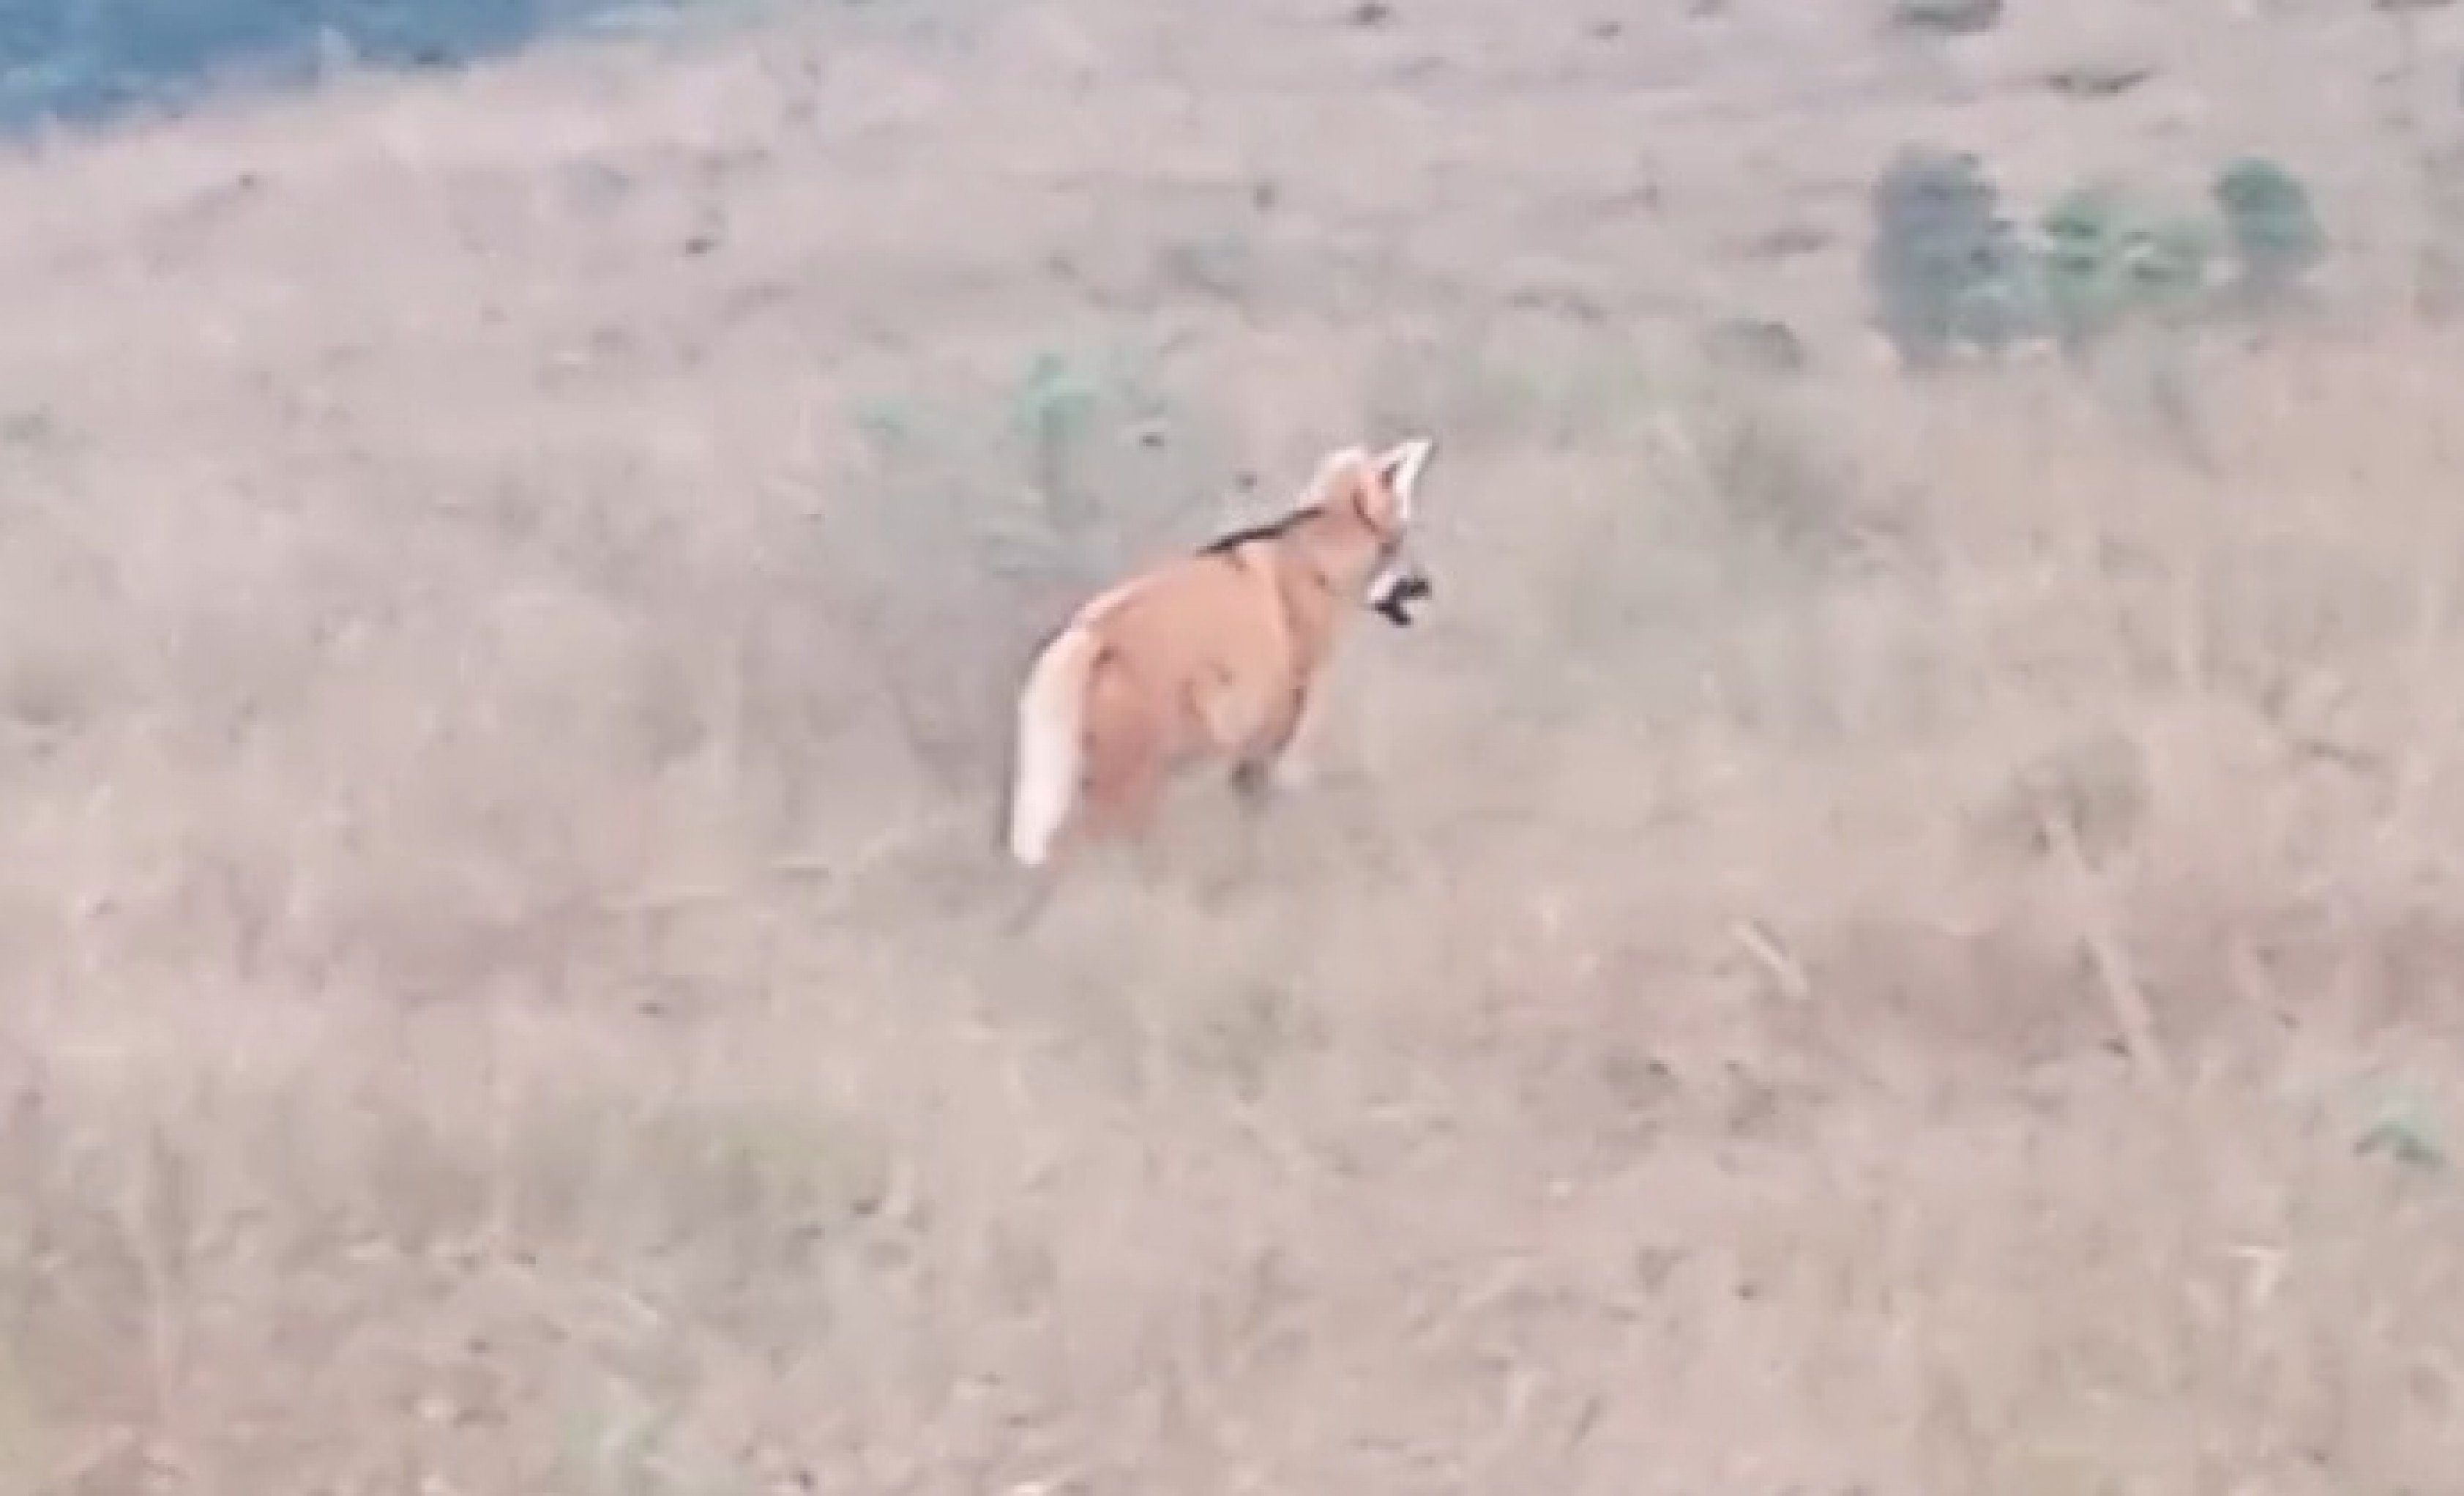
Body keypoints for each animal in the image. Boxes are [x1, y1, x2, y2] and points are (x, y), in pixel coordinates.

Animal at [1002, 436, 1439, 867]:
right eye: (1398, 543)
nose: (1426, 584)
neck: (1314, 562)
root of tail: (1091, 629)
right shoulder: (1274, 732)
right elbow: (1262, 811)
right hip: (1137, 778)